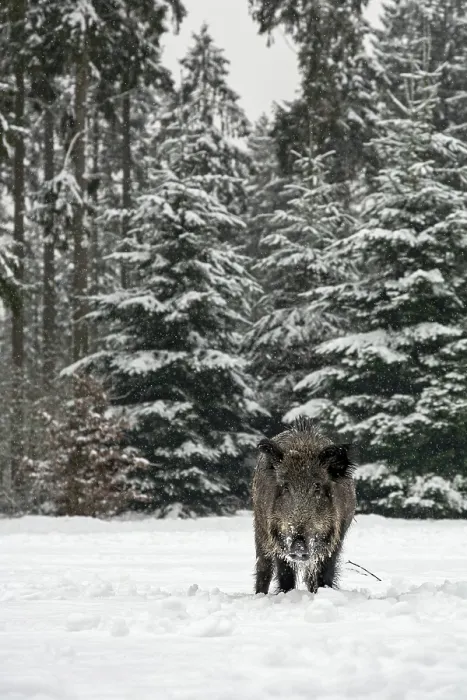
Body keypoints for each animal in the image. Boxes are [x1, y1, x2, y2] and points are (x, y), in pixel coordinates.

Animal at [252, 416, 356, 594]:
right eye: (285, 487)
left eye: (317, 487)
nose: (299, 545)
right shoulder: (277, 538)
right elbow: (285, 573)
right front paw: (286, 594)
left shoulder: (336, 539)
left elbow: (324, 575)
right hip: (260, 530)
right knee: (263, 568)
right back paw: (259, 595)